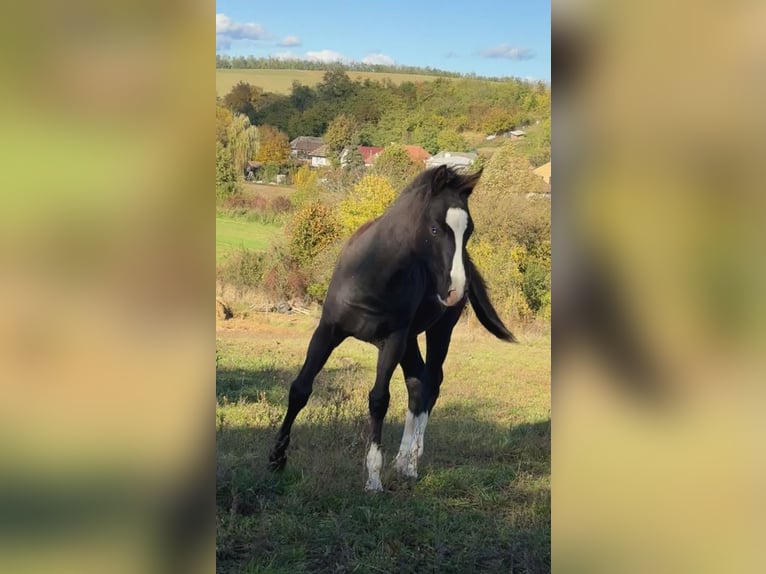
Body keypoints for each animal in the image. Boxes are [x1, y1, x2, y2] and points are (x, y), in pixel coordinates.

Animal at [268, 165, 516, 491]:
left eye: (469, 231)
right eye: (435, 229)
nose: (455, 290)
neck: (371, 272)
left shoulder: (392, 341)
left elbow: (378, 399)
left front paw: (373, 477)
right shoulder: (328, 331)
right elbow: (300, 388)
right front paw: (276, 457)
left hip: (438, 331)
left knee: (432, 381)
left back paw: (411, 461)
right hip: (410, 340)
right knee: (417, 383)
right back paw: (402, 460)